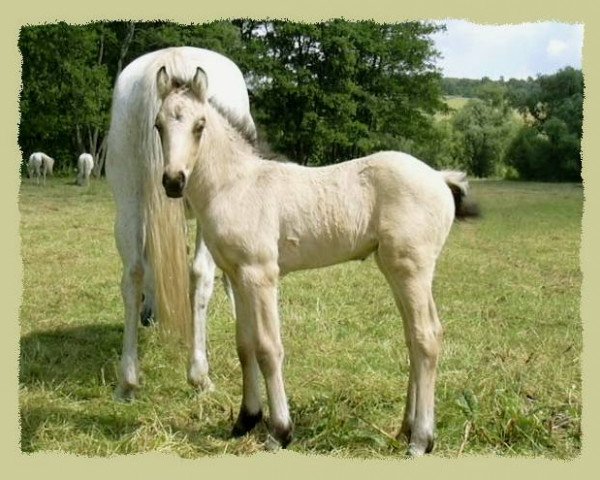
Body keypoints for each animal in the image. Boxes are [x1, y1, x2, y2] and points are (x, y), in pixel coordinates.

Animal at [105, 47, 255, 402]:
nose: (148, 318)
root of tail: (174, 57)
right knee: (199, 276)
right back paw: (199, 376)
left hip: (128, 202)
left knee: (132, 276)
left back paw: (128, 380)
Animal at [152, 65, 480, 456]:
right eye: (158, 125)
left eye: (199, 125)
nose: (173, 181)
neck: (236, 184)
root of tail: (440, 178)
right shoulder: (236, 274)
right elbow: (245, 345)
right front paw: (245, 420)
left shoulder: (261, 274)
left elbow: (268, 348)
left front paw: (279, 431)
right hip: (396, 270)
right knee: (415, 338)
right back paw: (405, 429)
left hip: (411, 269)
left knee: (426, 336)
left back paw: (420, 440)